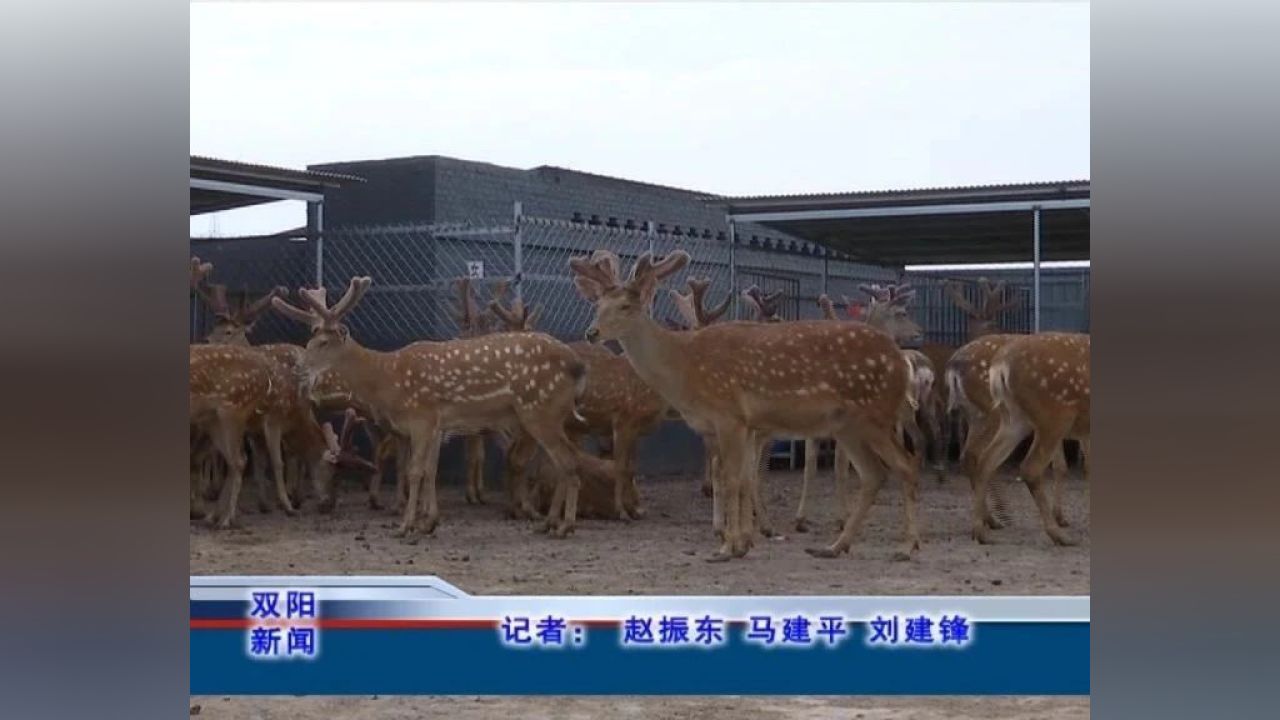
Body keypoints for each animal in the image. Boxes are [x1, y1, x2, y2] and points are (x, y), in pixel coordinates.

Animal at [271, 275, 624, 538]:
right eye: (309, 338)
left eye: (323, 342)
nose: (298, 369)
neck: (388, 379)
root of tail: (578, 366)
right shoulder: (437, 424)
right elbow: (430, 470)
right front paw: (428, 522)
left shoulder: (421, 416)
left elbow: (414, 470)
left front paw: (405, 526)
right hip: (550, 416)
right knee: (563, 461)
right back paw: (549, 522)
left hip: (540, 410)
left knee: (567, 462)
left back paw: (564, 526)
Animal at [569, 250, 921, 562]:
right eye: (598, 304)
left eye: (626, 305)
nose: (592, 331)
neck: (684, 369)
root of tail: (901, 360)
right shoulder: (732, 425)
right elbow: (738, 478)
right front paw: (740, 543)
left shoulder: (730, 416)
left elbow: (733, 479)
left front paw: (728, 546)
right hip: (847, 424)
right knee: (874, 474)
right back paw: (835, 547)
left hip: (875, 413)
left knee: (905, 465)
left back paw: (907, 547)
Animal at [967, 332, 1089, 547]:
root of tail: (1001, 364)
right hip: (1054, 416)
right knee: (1030, 468)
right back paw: (1059, 535)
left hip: (1012, 417)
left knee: (986, 460)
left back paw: (981, 531)